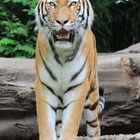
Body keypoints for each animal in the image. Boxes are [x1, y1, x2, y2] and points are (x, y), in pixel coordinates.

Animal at [34, 0, 104, 140]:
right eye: (52, 4)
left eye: (73, 3)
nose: (62, 21)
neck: (62, 54)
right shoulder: (44, 86)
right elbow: (46, 126)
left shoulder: (77, 87)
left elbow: (70, 125)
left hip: (92, 96)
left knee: (95, 127)